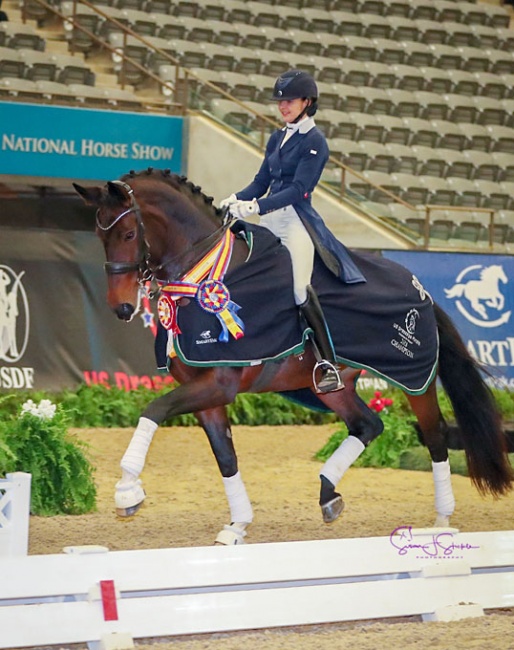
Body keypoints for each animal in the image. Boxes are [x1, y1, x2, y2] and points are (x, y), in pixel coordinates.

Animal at [74, 167, 510, 540]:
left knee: (435, 436)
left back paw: (441, 520)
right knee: (368, 425)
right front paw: (237, 526)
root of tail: (421, 290)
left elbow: (154, 409)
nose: (122, 308)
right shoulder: (206, 391)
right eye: (99, 236)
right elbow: (225, 457)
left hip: (415, 379)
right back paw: (328, 495)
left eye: (128, 235)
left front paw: (127, 489)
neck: (204, 270)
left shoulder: (219, 383)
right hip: (331, 386)